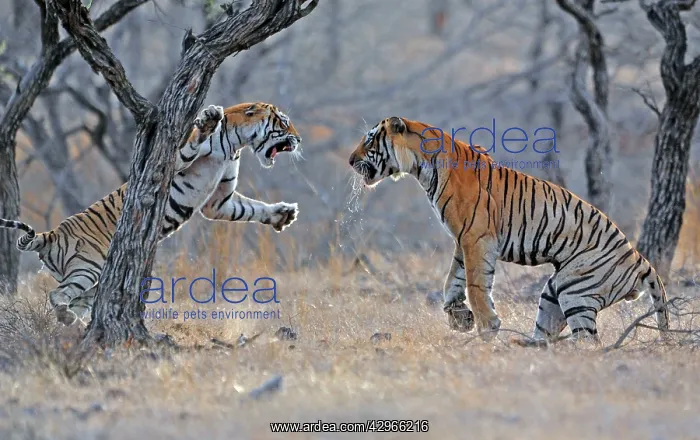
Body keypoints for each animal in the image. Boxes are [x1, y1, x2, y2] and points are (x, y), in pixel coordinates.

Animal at [0, 102, 302, 326]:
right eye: (283, 122)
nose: (299, 139)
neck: (235, 146)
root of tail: (51, 234)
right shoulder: (174, 160)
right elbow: (194, 143)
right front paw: (209, 118)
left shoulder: (219, 202)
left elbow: (250, 208)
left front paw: (283, 215)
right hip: (87, 267)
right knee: (57, 294)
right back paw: (69, 320)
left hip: (90, 280)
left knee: (73, 299)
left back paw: (77, 325)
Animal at [347, 116, 670, 343]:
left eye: (369, 140)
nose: (350, 161)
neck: (422, 167)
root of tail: (641, 260)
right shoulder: (463, 240)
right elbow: (452, 282)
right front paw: (460, 318)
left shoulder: (476, 238)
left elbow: (475, 285)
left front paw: (485, 328)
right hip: (554, 292)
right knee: (549, 331)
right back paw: (526, 347)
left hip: (575, 290)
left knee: (588, 343)